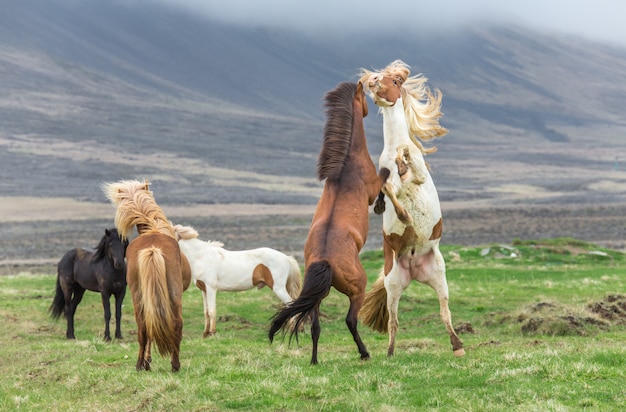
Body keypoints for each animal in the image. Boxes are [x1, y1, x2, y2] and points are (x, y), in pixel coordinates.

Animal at [102, 179, 191, 372]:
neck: (154, 227)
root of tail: (152, 248)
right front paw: (148, 361)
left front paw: (147, 362)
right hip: (171, 295)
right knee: (172, 325)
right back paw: (170, 365)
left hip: (140, 296)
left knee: (145, 328)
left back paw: (143, 365)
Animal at [172, 224, 302, 336]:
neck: (201, 257)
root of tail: (286, 258)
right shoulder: (203, 290)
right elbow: (206, 312)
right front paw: (205, 333)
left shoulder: (211, 288)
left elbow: (212, 310)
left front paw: (212, 333)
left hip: (278, 288)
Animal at [266, 82, 378, 366]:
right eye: (364, 97)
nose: (369, 109)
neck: (346, 166)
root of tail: (326, 260)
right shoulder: (373, 189)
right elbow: (386, 179)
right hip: (356, 288)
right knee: (350, 320)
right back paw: (364, 353)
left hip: (318, 295)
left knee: (315, 325)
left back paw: (315, 360)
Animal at [356, 58, 464, 358]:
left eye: (394, 81)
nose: (372, 82)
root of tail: (415, 270)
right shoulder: (385, 179)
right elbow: (388, 189)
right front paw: (400, 214)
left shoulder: (420, 175)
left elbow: (409, 165)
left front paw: (403, 155)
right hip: (394, 284)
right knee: (393, 321)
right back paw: (390, 353)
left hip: (440, 277)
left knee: (445, 313)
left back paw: (458, 347)